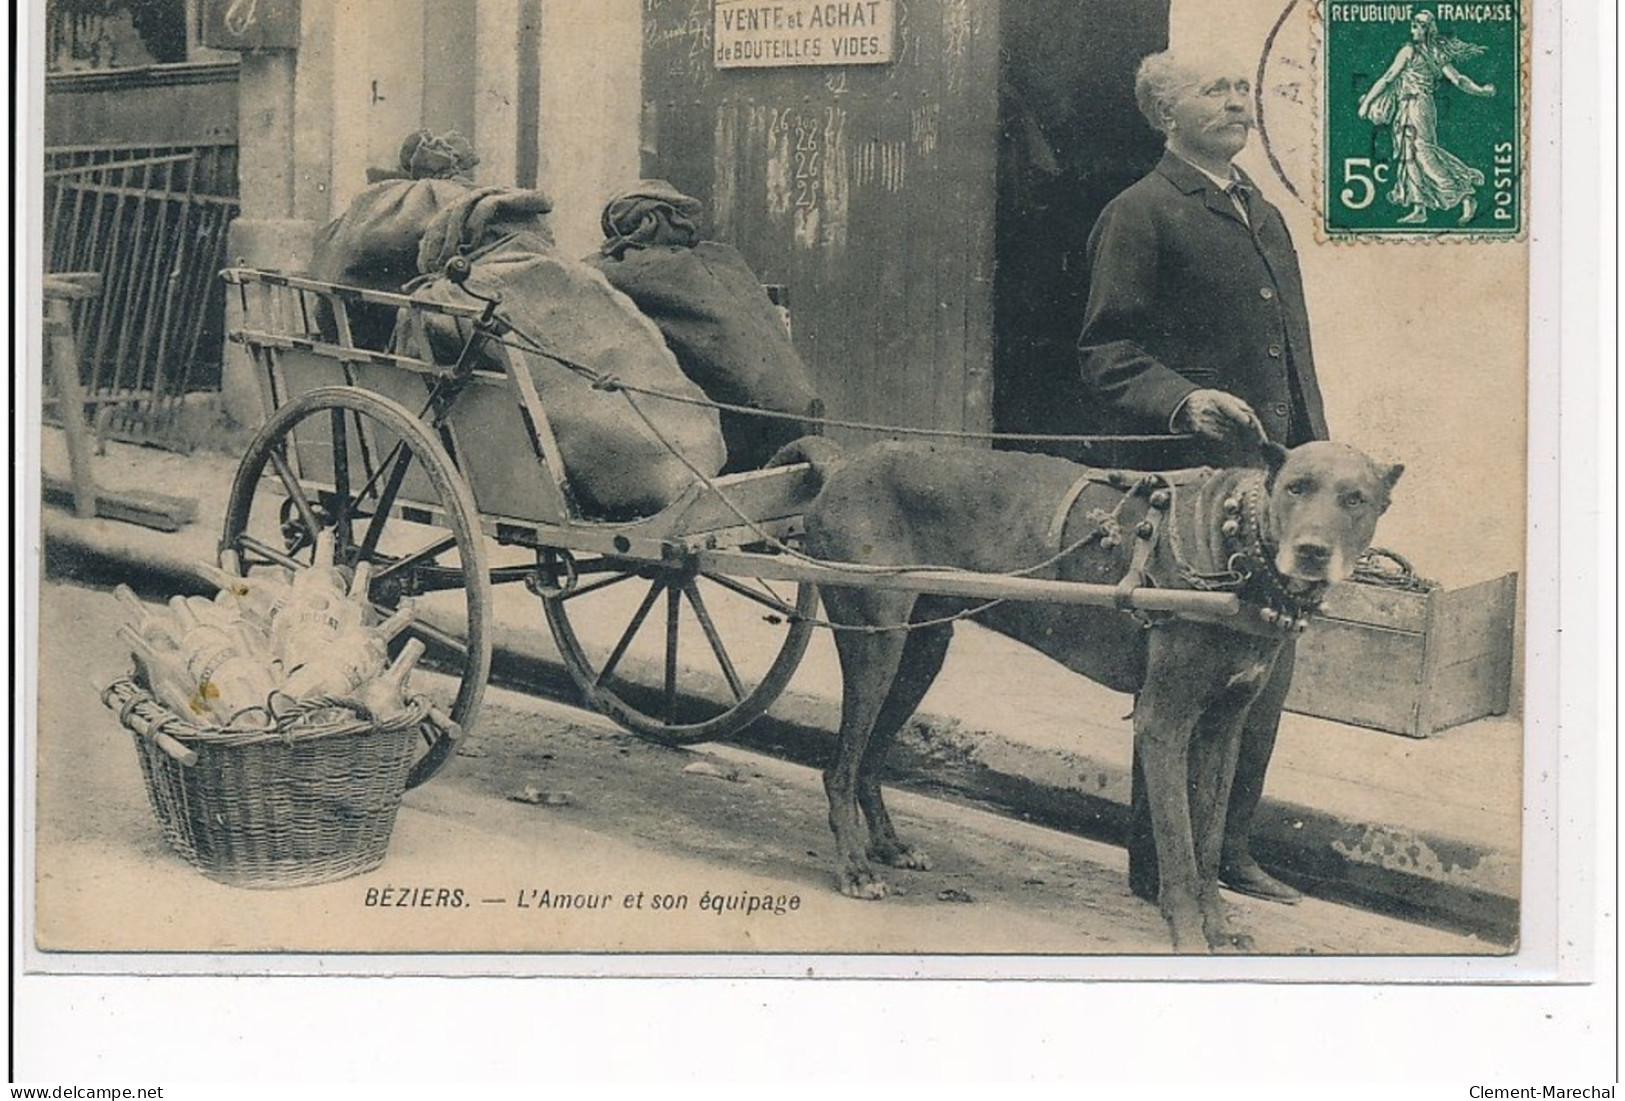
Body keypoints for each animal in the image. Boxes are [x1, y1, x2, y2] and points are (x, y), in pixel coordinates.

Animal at [783, 438, 1397, 954]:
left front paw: (1220, 927)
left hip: (922, 648)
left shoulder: (1222, 727)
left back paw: (888, 846)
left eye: (1356, 498)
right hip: (875, 643)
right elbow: (1179, 846)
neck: (1231, 547)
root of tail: (843, 463)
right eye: (1296, 486)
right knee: (840, 767)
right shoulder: (1162, 723)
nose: (1313, 551)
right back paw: (856, 869)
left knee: (869, 759)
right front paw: (1189, 935)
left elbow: (1207, 840)